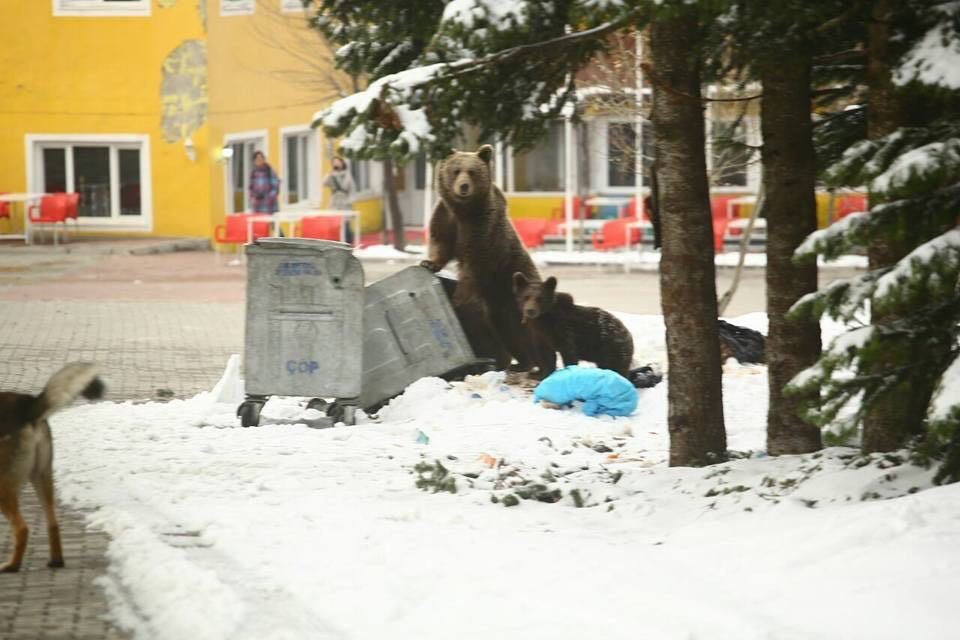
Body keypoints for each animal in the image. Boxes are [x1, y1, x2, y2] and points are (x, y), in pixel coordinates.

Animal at [0, 362, 104, 572]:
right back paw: (55, 561)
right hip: (42, 476)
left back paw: (12, 565)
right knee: (53, 523)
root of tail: (27, 405)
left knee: (22, 528)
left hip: (3, 485)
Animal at [420, 145, 540, 370]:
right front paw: (428, 262)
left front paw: (456, 300)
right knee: (508, 332)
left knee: (522, 330)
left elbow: (472, 266)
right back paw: (518, 363)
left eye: (472, 172)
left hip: (515, 284)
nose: (463, 186)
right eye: (456, 170)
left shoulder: (483, 230)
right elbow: (440, 243)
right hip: (498, 305)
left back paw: (527, 363)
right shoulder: (446, 218)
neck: (464, 211)